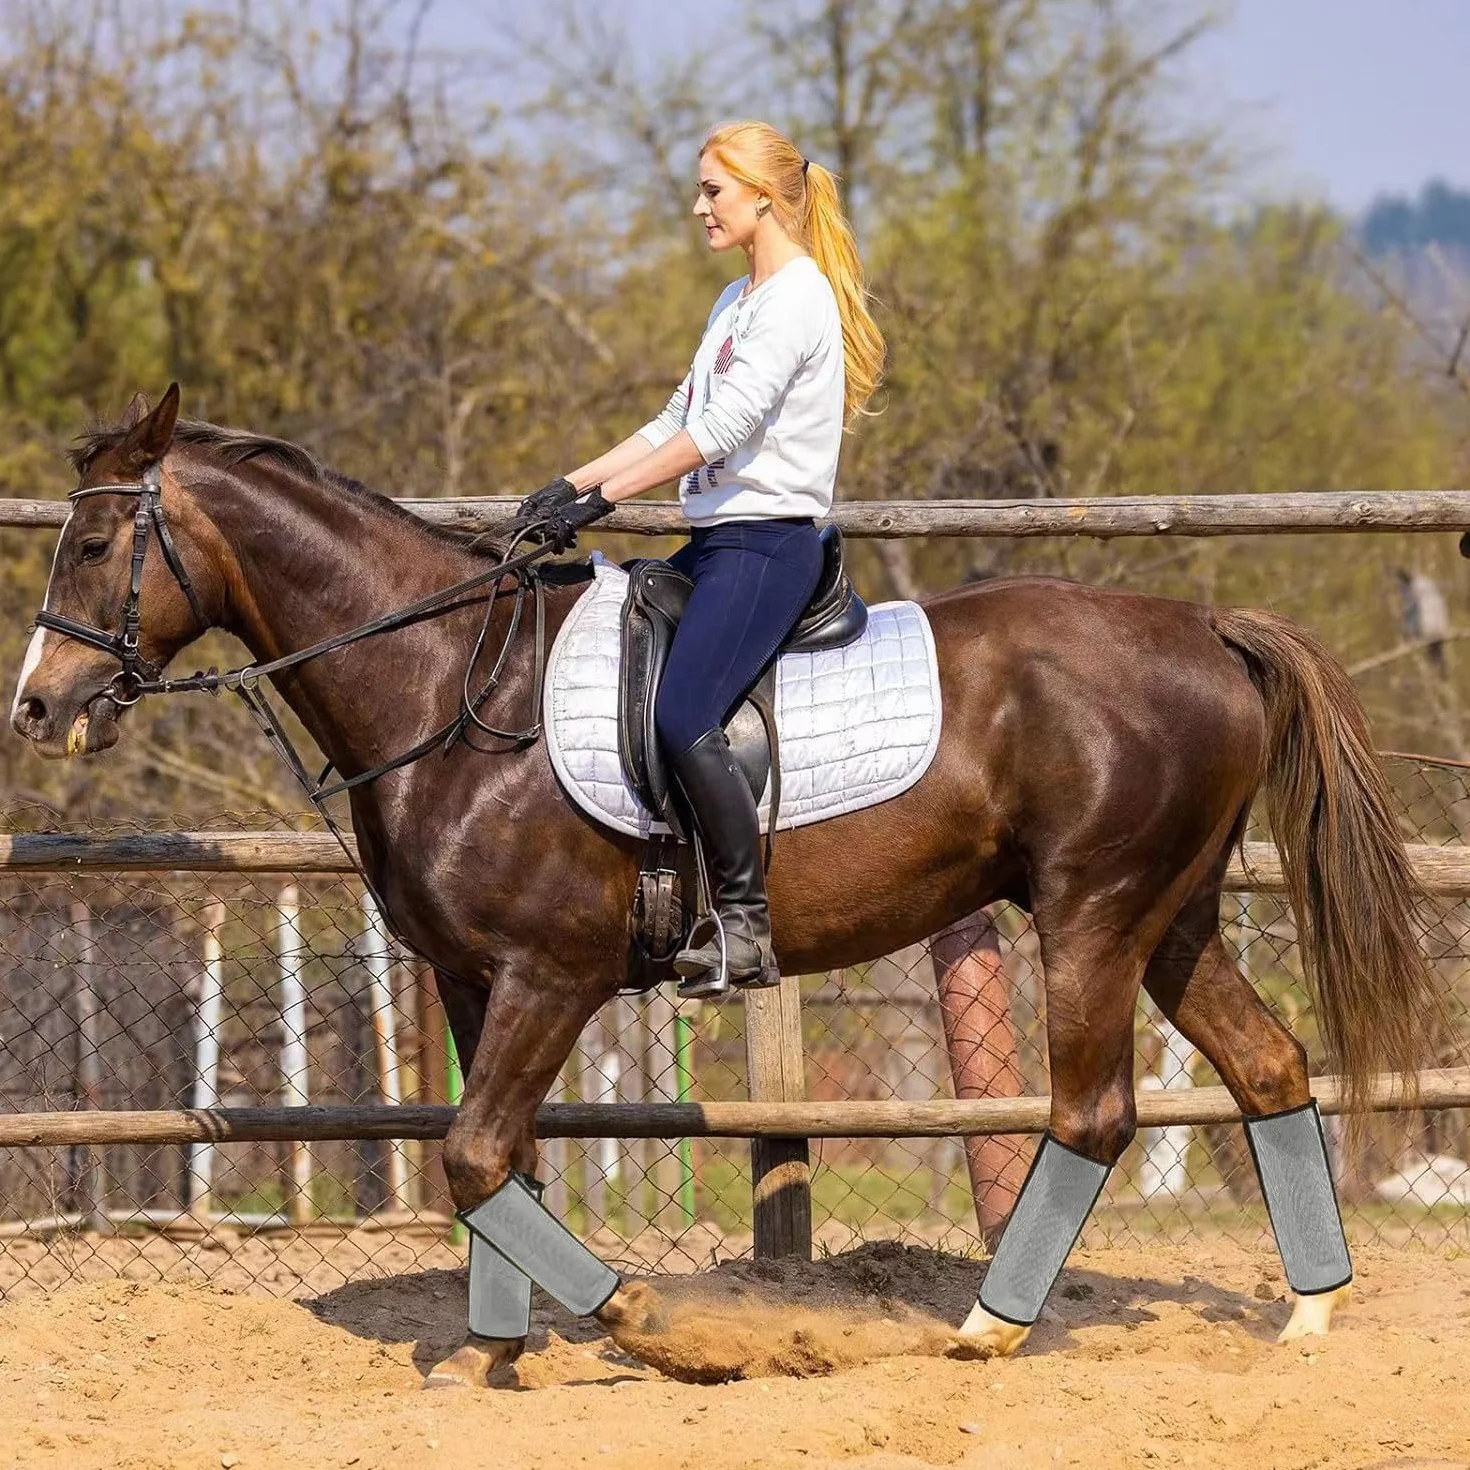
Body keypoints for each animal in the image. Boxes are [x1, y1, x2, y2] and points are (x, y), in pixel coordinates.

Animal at [11, 386, 1439, 1384]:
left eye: (96, 542)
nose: (36, 708)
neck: (448, 687)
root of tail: (1205, 628)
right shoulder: (475, 981)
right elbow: (495, 1159)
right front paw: (491, 1353)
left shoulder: (552, 977)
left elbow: (473, 1156)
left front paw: (642, 1322)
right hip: (1170, 918)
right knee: (1270, 1069)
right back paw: (1309, 1315)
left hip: (1094, 912)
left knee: (1092, 1115)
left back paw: (987, 1330)